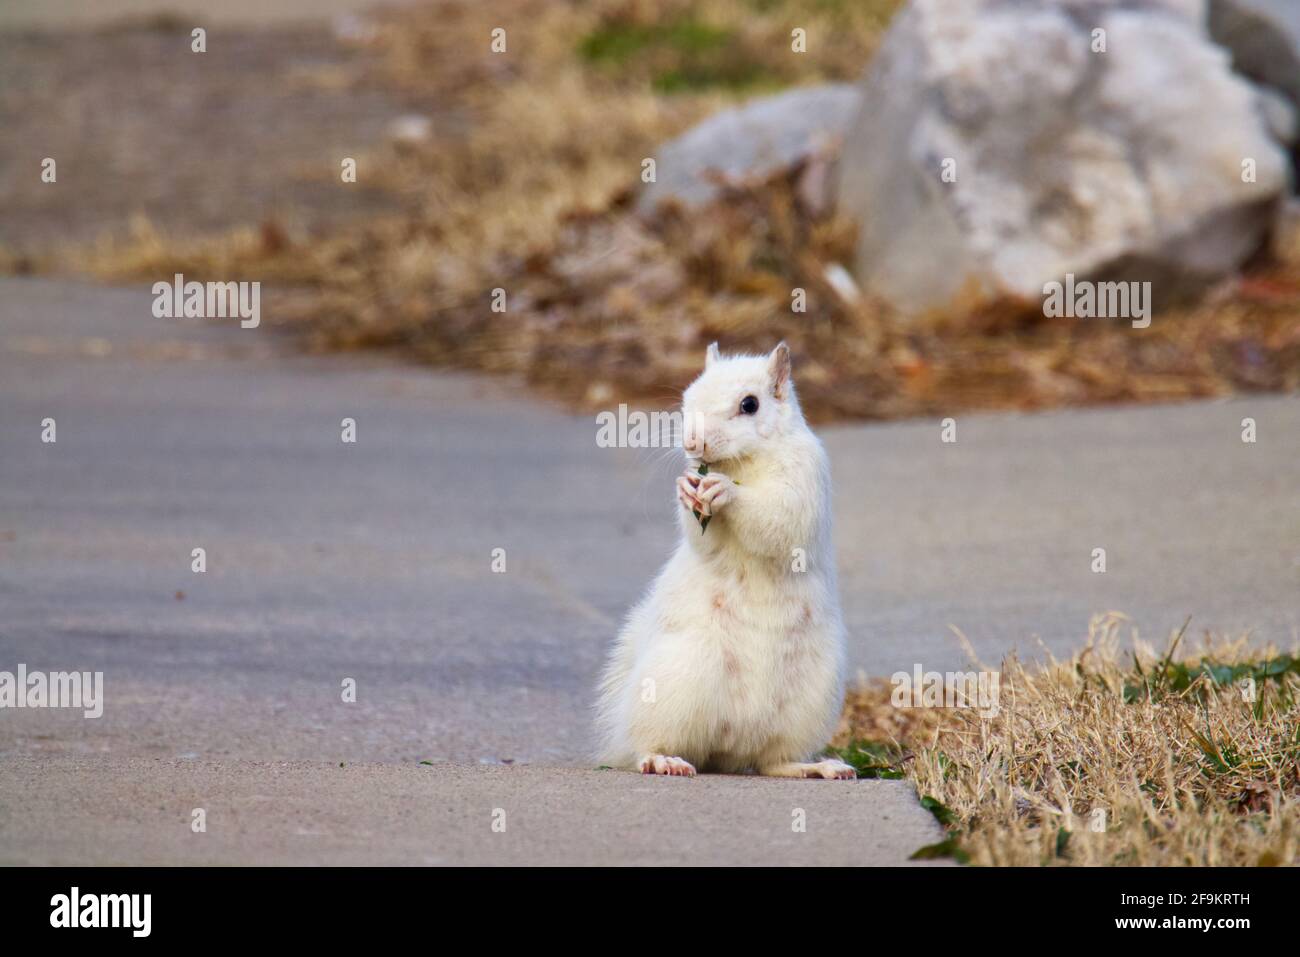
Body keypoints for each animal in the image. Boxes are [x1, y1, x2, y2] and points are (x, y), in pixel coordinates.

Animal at [595, 343, 852, 780]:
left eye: (749, 404)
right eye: (687, 399)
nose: (693, 442)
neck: (744, 462)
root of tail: (730, 748)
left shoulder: (807, 479)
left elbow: (781, 518)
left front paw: (727, 492)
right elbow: (703, 537)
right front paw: (688, 489)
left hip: (809, 700)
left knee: (772, 761)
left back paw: (813, 767)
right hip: (675, 679)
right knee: (649, 743)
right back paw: (663, 759)